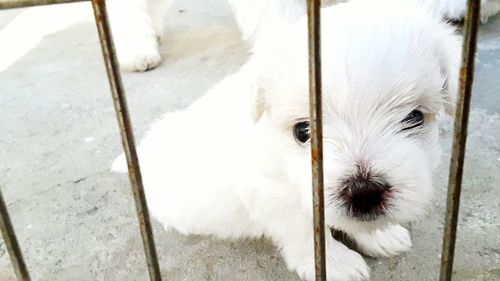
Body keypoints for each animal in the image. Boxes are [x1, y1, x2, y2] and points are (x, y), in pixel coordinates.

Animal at [112, 0, 460, 278]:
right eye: (303, 132)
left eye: (414, 117)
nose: (364, 192)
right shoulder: (273, 193)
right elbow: (305, 230)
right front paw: (336, 265)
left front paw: (381, 236)